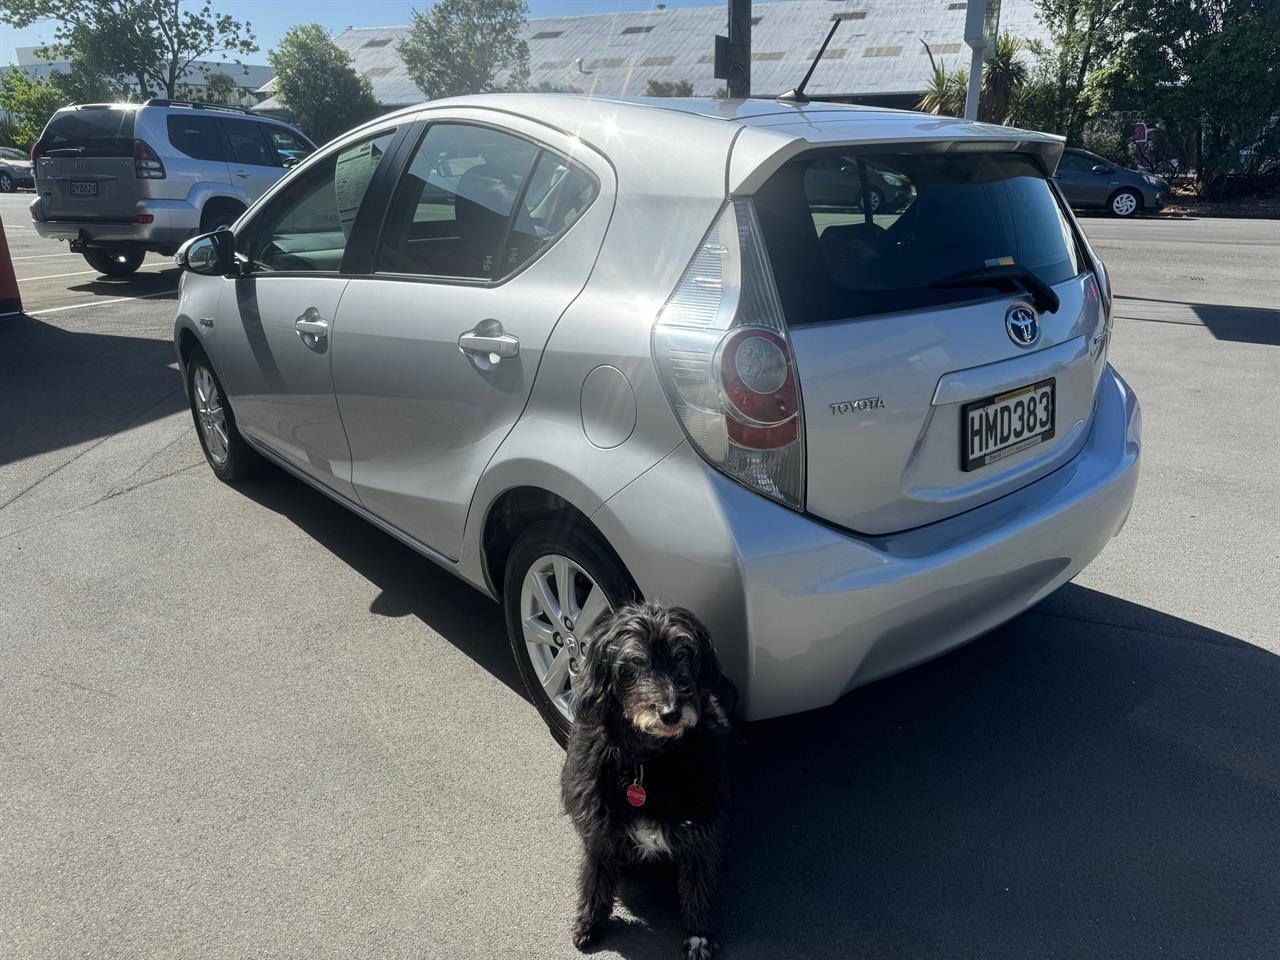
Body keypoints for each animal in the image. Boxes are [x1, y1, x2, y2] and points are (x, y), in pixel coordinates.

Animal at [560, 601, 732, 960]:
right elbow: (595, 876)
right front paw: (589, 922)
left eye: (683, 654)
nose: (671, 713)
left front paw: (699, 935)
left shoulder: (701, 828)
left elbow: (698, 884)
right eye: (635, 662)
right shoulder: (600, 827)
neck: (648, 764)